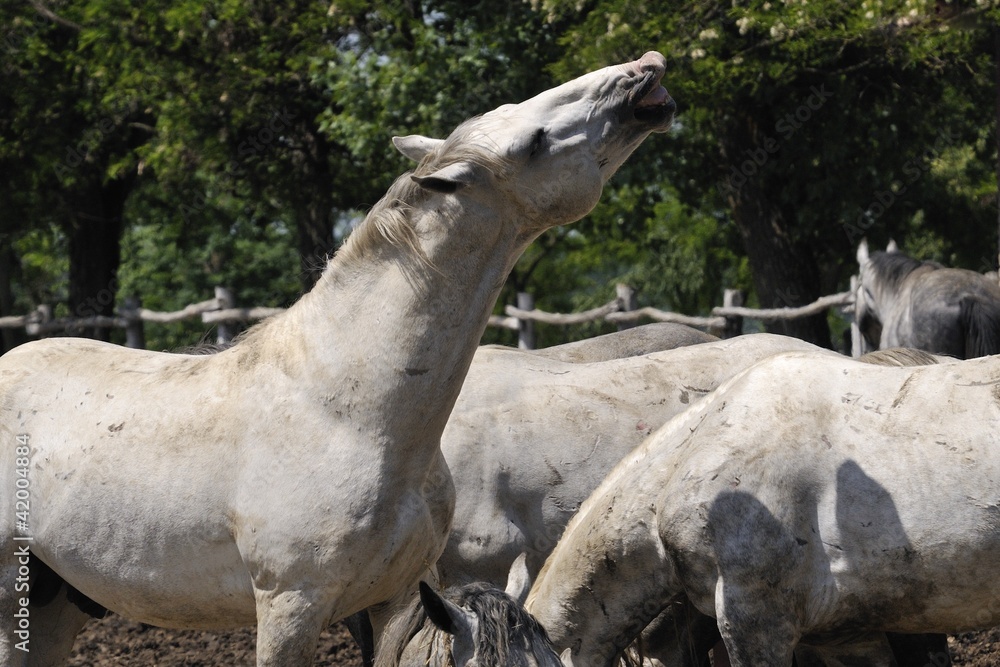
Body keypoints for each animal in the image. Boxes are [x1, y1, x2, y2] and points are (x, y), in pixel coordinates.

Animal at [0, 51, 675, 666]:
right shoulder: (291, 608)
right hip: (15, 601)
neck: (350, 413)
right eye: (531, 142)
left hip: (59, 602)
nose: (644, 70)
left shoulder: (394, 599)